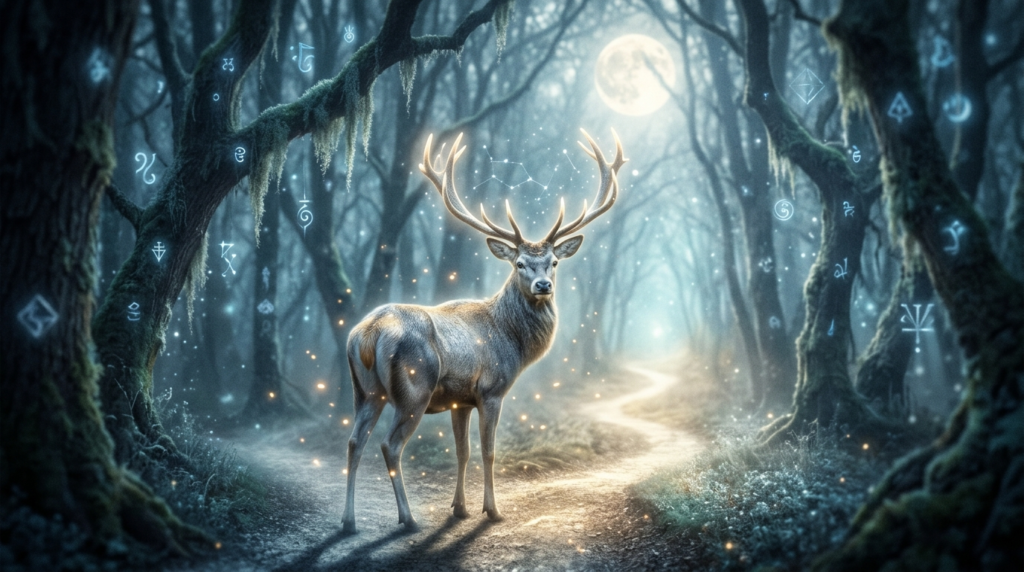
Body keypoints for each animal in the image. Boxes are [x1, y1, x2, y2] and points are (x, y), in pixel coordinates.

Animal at [341, 129, 626, 533]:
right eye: (519, 263)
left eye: (554, 261)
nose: (543, 286)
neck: (512, 342)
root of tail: (366, 335)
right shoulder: (491, 390)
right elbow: (489, 452)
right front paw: (492, 510)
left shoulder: (459, 399)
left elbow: (462, 451)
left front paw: (459, 508)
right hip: (413, 390)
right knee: (390, 445)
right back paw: (408, 519)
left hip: (364, 391)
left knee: (354, 442)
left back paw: (349, 521)